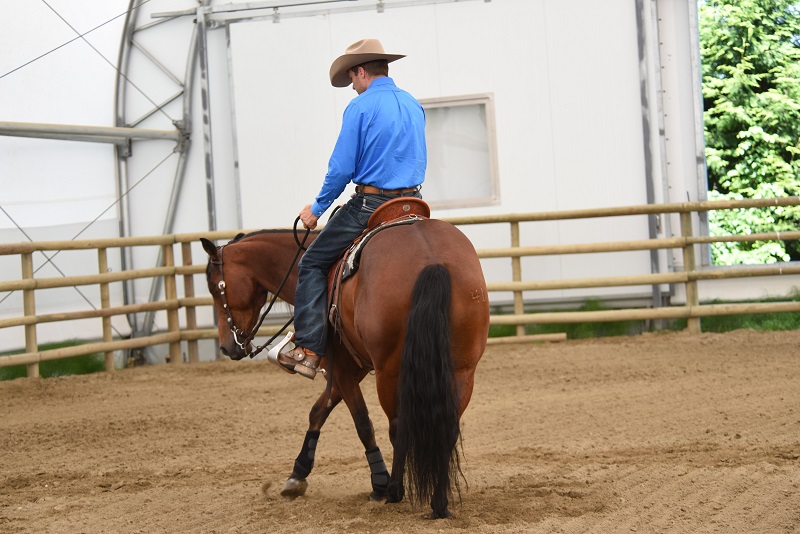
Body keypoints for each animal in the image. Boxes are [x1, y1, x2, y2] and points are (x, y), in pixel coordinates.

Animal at [201, 214, 489, 519]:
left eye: (215, 288)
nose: (227, 347)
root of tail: (431, 260)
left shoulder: (340, 368)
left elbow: (362, 423)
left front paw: (379, 483)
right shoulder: (351, 368)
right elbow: (318, 411)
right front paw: (297, 474)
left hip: (390, 373)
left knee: (398, 427)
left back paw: (396, 491)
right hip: (462, 371)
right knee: (448, 427)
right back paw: (439, 502)